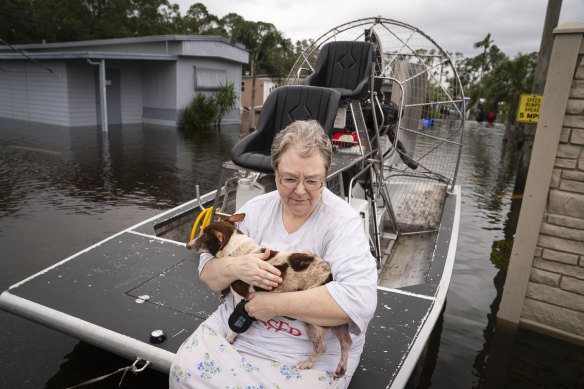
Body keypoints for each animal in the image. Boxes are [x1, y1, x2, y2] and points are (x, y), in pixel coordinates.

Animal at [187, 214, 352, 378]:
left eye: (204, 236)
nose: (187, 245)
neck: (238, 249)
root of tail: (330, 276)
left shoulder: (240, 297)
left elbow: (234, 321)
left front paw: (231, 336)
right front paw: (223, 291)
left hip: (314, 321)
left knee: (321, 347)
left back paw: (306, 363)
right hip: (337, 322)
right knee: (346, 342)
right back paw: (341, 368)